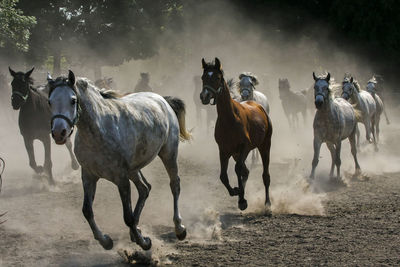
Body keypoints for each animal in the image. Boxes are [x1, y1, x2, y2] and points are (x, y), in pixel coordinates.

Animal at [47, 70, 191, 251]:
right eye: (50, 101)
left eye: (73, 100)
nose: (59, 133)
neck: (98, 132)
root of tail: (162, 99)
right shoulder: (88, 176)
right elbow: (87, 211)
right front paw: (106, 241)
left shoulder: (121, 179)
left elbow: (127, 217)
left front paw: (144, 242)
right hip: (133, 170)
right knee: (144, 189)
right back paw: (136, 230)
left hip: (168, 154)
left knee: (174, 185)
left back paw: (179, 228)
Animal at [199, 58, 272, 211]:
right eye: (203, 77)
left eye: (217, 77)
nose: (204, 96)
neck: (230, 118)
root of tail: (259, 106)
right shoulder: (224, 150)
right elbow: (223, 176)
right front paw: (236, 192)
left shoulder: (244, 147)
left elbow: (237, 169)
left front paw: (242, 200)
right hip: (235, 154)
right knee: (246, 172)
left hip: (264, 146)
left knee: (265, 175)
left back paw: (267, 203)